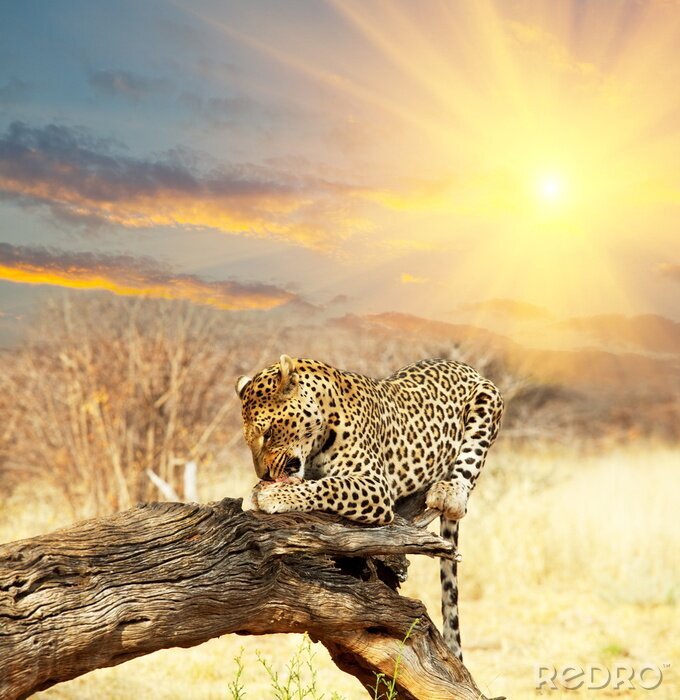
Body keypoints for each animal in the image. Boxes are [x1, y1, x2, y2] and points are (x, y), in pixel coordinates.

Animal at [235, 354, 504, 660]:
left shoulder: (374, 485)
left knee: (467, 470)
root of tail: (462, 366)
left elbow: (329, 485)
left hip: (488, 397)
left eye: (268, 433)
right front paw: (262, 489)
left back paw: (450, 492)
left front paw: (273, 494)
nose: (264, 474)